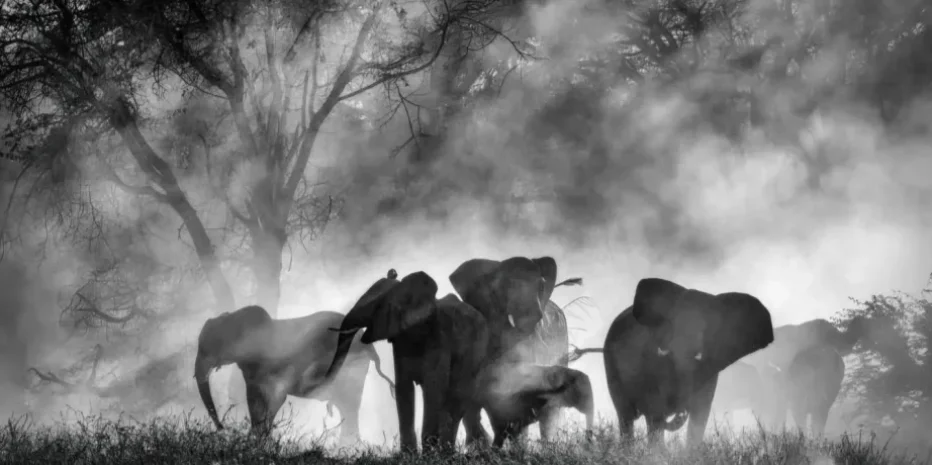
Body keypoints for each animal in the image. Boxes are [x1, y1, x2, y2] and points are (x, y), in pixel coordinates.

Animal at [194, 306, 396, 441]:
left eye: (211, 346)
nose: (223, 428)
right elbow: (253, 399)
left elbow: (275, 398)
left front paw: (258, 441)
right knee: (346, 407)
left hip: (351, 367)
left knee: (349, 405)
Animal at [324, 269, 491, 452]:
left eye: (375, 306)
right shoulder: (400, 341)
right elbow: (403, 388)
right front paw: (408, 454)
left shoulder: (439, 338)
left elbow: (433, 388)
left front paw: (429, 454)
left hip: (476, 356)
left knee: (457, 400)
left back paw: (451, 451)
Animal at [601, 278, 775, 446]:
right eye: (672, 322)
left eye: (708, 327)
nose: (681, 410)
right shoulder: (650, 361)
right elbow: (655, 410)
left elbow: (700, 414)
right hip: (611, 366)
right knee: (626, 416)